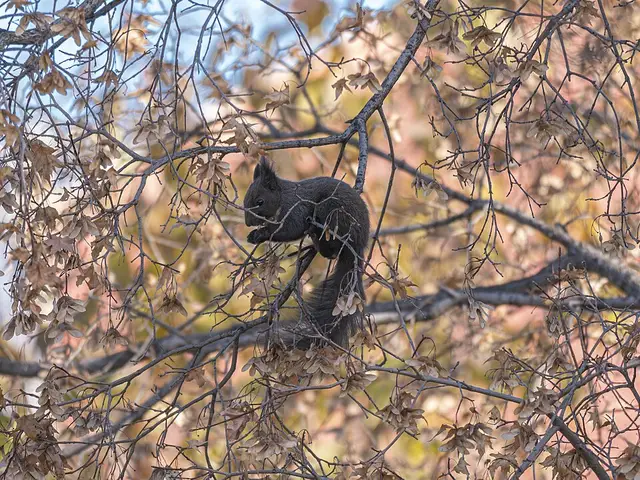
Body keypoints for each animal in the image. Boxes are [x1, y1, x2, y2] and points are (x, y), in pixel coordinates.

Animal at [243, 156, 370, 347]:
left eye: (260, 202)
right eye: (245, 199)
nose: (248, 223)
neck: (283, 197)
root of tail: (359, 245)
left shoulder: (296, 209)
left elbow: (290, 229)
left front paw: (260, 234)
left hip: (334, 213)